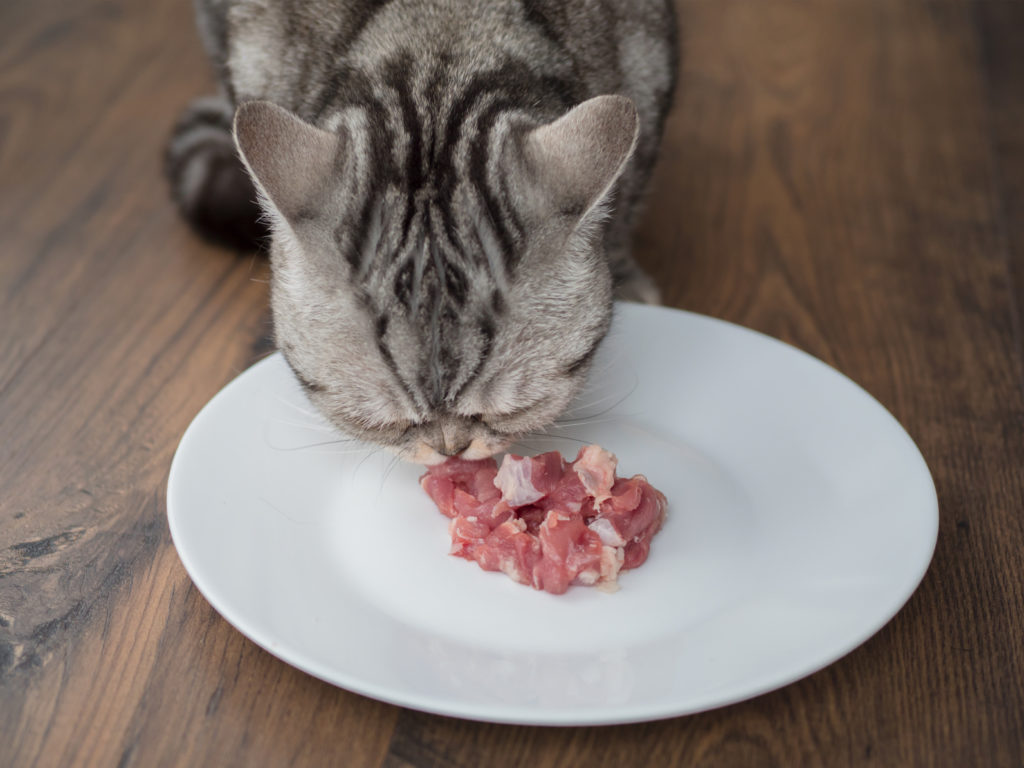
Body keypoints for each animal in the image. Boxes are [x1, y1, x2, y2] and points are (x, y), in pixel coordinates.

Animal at [165, 0, 679, 462]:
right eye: (388, 423)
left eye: (506, 413)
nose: (450, 448)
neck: (441, 38)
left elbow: (629, 199)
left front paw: (625, 272)